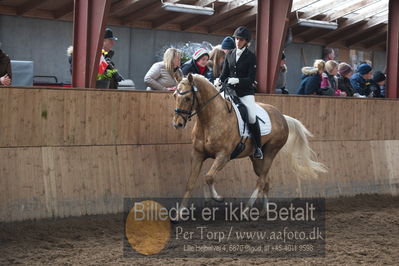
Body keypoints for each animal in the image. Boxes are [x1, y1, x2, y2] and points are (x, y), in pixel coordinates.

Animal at [173, 74, 326, 211]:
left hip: (271, 152)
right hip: (257, 159)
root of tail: (281, 116)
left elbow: (209, 177)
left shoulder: (223, 156)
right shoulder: (197, 155)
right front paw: (180, 213)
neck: (211, 119)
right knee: (265, 180)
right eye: (175, 95)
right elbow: (190, 183)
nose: (177, 124)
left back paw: (247, 209)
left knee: (261, 181)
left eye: (187, 98)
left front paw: (217, 198)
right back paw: (265, 210)